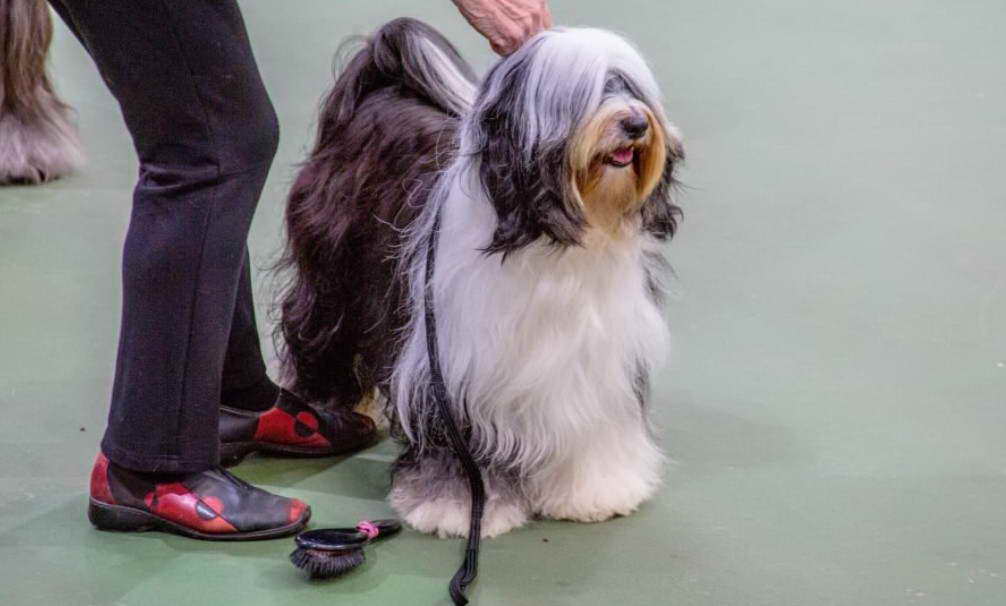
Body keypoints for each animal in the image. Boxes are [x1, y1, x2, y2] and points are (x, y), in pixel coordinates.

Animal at [275, 18, 684, 535]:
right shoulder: (454, 363)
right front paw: (456, 505)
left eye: (628, 86)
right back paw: (325, 403)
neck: (550, 239)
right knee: (317, 330)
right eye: (581, 96)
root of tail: (379, 88)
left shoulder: (595, 359)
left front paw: (594, 492)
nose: (635, 123)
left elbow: (591, 428)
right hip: (334, 277)